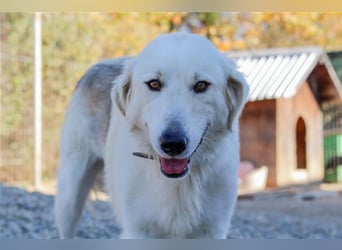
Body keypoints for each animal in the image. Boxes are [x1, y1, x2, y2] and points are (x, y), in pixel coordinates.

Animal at [54, 33, 250, 238]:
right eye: (154, 84)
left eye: (201, 85)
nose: (172, 143)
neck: (177, 183)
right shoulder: (138, 230)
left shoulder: (212, 229)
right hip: (69, 199)